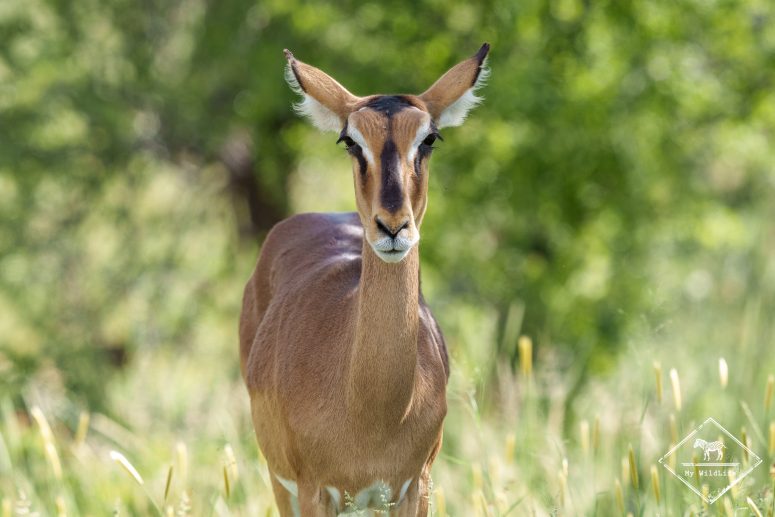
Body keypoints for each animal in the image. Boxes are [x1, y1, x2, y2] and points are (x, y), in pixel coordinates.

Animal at [239, 43, 490, 516]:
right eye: (350, 141)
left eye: (429, 138)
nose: (392, 226)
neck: (371, 410)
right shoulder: (313, 490)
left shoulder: (414, 487)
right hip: (280, 483)